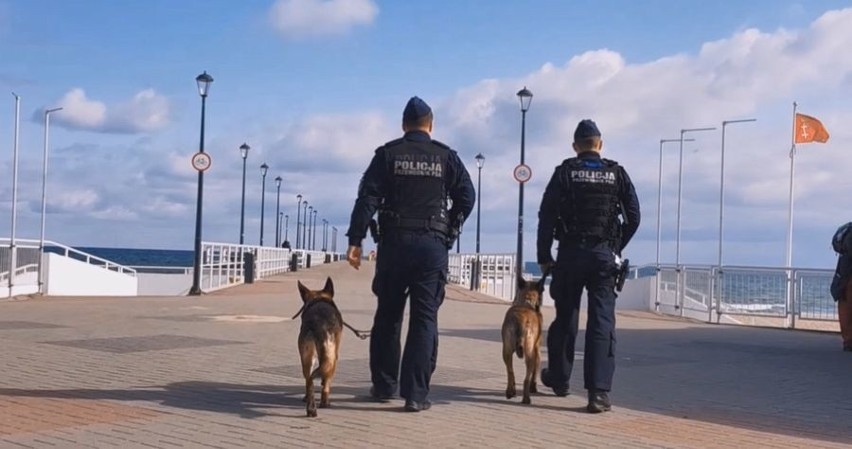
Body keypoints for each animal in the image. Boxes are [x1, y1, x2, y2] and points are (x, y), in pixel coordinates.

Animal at [296, 276, 342, 416]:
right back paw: (324, 402)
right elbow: (327, 379)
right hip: (330, 357)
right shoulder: (334, 355)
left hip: (307, 357)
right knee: (322, 380)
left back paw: (310, 407)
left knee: (309, 379)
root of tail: (315, 323)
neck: (318, 299)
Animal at [500, 272, 544, 404]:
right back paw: (526, 398)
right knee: (527, 378)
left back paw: (510, 392)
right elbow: (535, 372)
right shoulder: (537, 350)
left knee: (510, 371)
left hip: (506, 350)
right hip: (530, 352)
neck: (526, 301)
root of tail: (520, 320)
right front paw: (534, 387)